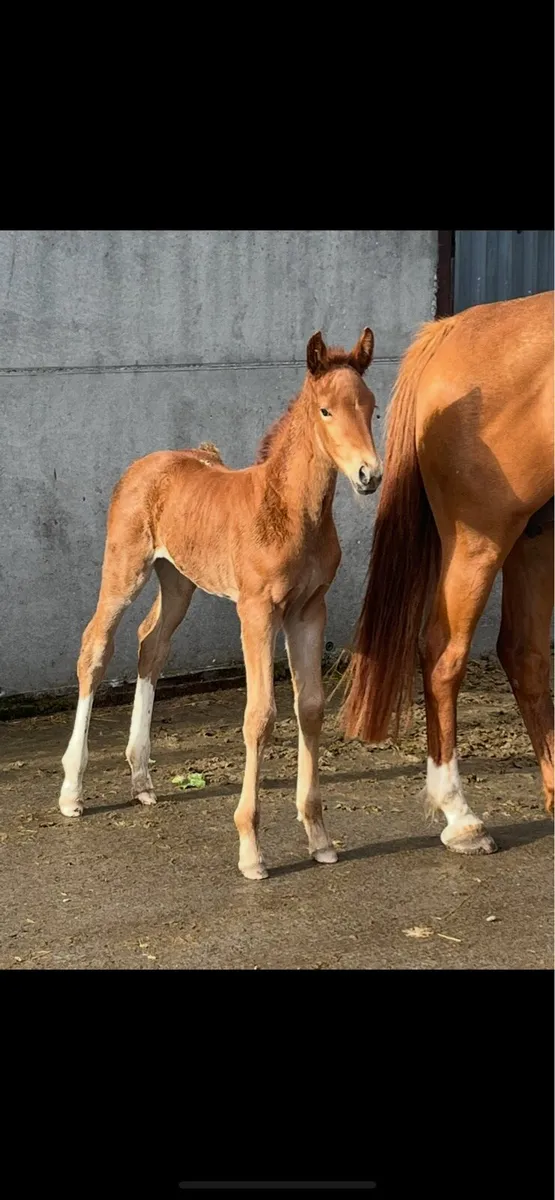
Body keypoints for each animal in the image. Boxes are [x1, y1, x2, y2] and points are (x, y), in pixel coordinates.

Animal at [58, 327, 382, 879]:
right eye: (325, 410)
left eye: (372, 407)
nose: (369, 475)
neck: (289, 511)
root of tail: (144, 464)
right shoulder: (256, 611)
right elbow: (260, 715)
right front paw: (251, 848)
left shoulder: (308, 610)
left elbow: (311, 707)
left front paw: (319, 836)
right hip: (125, 570)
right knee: (95, 647)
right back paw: (72, 790)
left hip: (178, 581)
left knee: (151, 645)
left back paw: (141, 779)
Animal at [342, 290, 554, 855]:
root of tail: (451, 333)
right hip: (483, 537)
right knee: (443, 653)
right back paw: (460, 815)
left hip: (534, 535)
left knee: (525, 653)